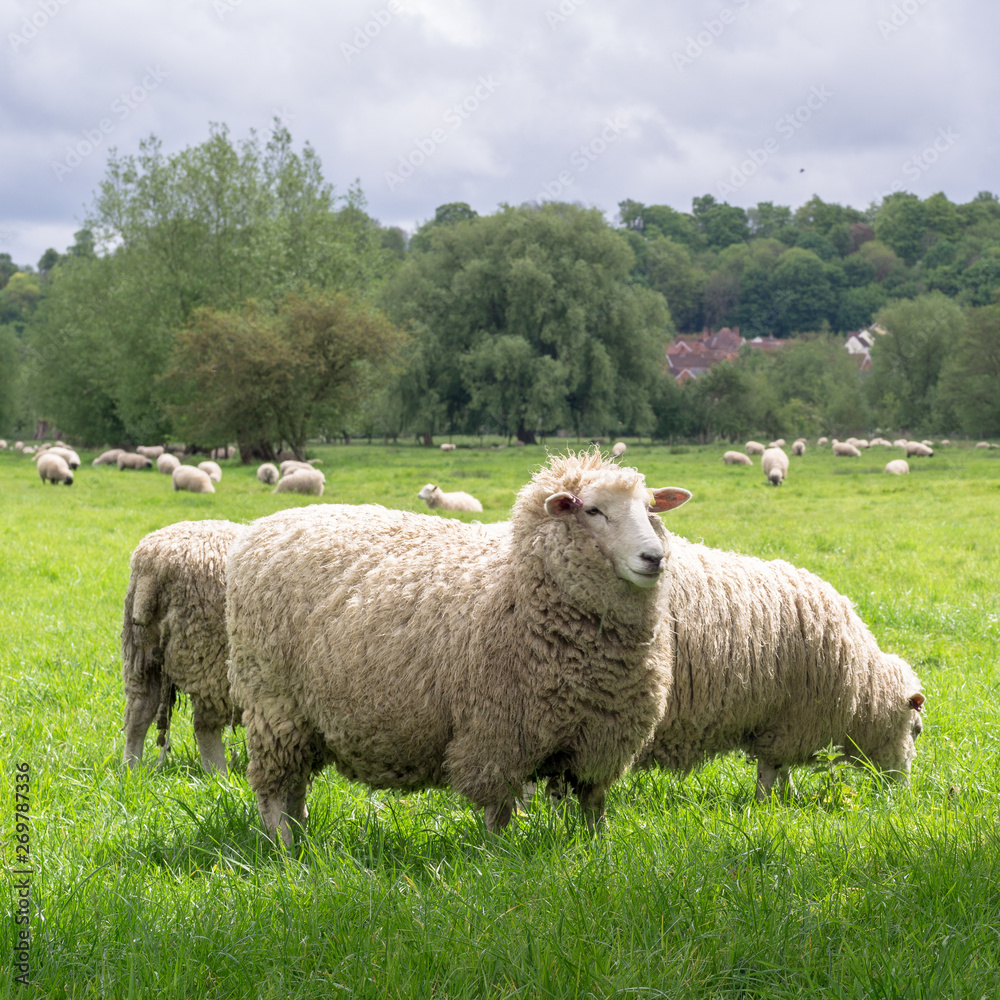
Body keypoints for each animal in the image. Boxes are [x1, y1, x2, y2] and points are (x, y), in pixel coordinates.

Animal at [121, 520, 246, 768]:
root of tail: (154, 564)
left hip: (141, 653)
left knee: (139, 712)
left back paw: (131, 769)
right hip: (210, 658)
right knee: (205, 727)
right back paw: (220, 774)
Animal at [229, 450, 696, 848]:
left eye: (650, 509)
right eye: (593, 510)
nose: (654, 557)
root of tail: (262, 527)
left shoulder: (601, 739)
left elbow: (592, 806)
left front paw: (597, 849)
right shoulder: (496, 735)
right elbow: (499, 811)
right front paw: (499, 858)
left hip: (301, 719)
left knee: (295, 789)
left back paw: (302, 841)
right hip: (274, 704)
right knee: (274, 791)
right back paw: (284, 849)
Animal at [636, 536, 924, 800]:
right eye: (917, 730)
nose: (903, 794)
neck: (863, 688)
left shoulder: (781, 723)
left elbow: (780, 769)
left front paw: (786, 797)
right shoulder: (792, 721)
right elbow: (772, 768)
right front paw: (764, 803)